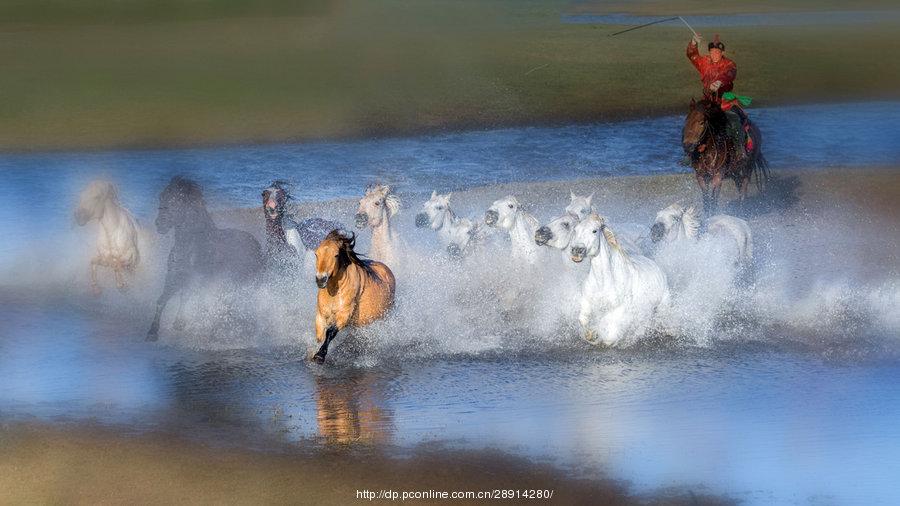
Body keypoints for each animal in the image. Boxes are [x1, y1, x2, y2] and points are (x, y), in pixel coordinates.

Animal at [148, 177, 264, 340]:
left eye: (177, 200)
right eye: (162, 196)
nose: (159, 224)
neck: (191, 245)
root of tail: (256, 243)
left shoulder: (197, 279)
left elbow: (189, 297)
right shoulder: (174, 276)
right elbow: (164, 300)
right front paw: (155, 331)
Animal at [312, 229, 394, 364]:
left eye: (336, 255)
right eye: (316, 254)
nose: (321, 279)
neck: (334, 292)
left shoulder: (344, 314)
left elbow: (330, 332)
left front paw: (320, 355)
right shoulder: (321, 314)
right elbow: (319, 335)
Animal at [568, 215, 668, 346]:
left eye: (594, 231)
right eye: (575, 230)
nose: (577, 251)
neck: (604, 283)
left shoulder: (619, 311)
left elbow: (610, 334)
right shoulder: (587, 302)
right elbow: (583, 320)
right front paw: (591, 335)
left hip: (661, 306)